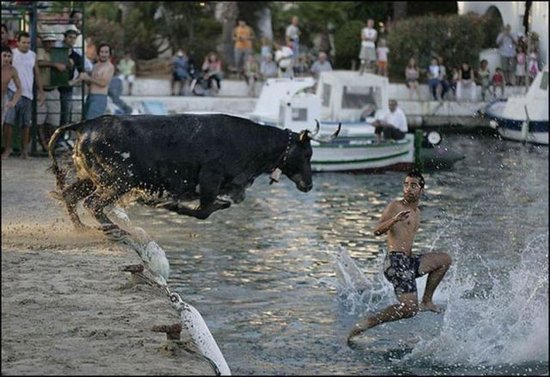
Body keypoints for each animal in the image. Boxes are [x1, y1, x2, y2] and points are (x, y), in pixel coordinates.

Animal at [48, 113, 336, 234]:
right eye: (307, 154)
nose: (309, 185)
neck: (251, 142)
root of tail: (87, 124)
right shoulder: (210, 180)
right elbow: (204, 211)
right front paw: (168, 205)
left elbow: (217, 206)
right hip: (119, 180)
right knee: (93, 203)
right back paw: (113, 227)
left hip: (90, 178)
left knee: (70, 196)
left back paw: (81, 227)